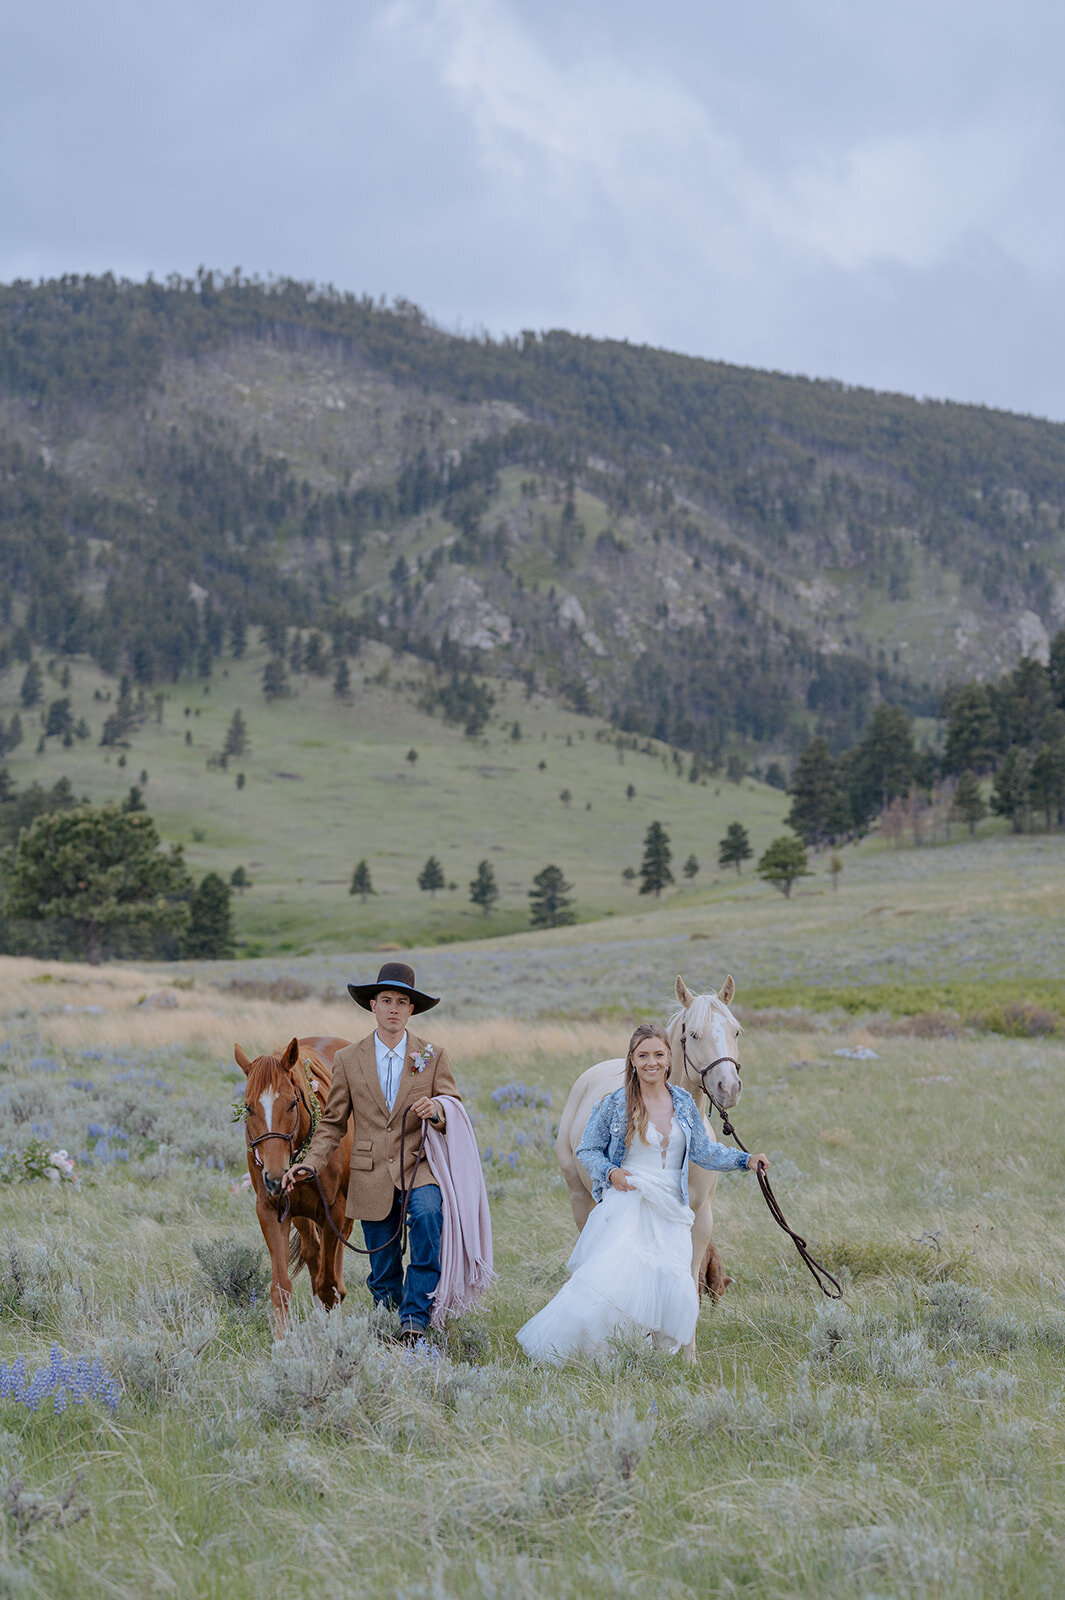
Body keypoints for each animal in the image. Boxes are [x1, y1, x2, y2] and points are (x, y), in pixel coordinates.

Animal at [233, 1030, 351, 1331]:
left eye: (292, 1103)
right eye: (248, 1108)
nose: (275, 1177)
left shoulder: (334, 1210)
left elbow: (329, 1284)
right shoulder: (270, 1210)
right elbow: (280, 1286)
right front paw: (283, 1338)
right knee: (313, 1253)